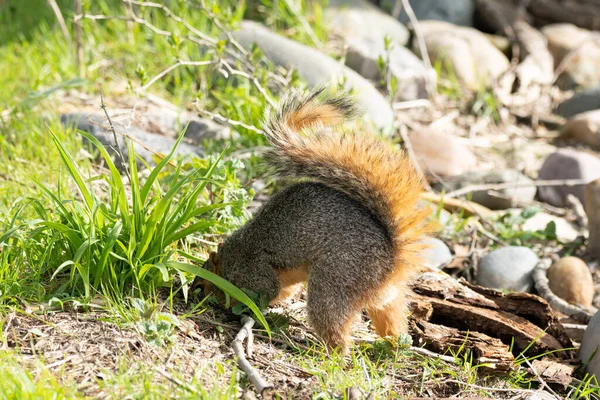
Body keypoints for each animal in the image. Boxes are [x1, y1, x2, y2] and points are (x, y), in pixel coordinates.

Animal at [202, 89, 432, 352]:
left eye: (205, 278)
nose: (201, 294)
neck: (232, 256)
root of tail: (392, 259)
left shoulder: (253, 272)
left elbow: (264, 292)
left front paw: (229, 301)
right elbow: (284, 291)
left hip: (334, 282)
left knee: (335, 330)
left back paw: (325, 352)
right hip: (385, 297)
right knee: (390, 318)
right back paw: (394, 345)